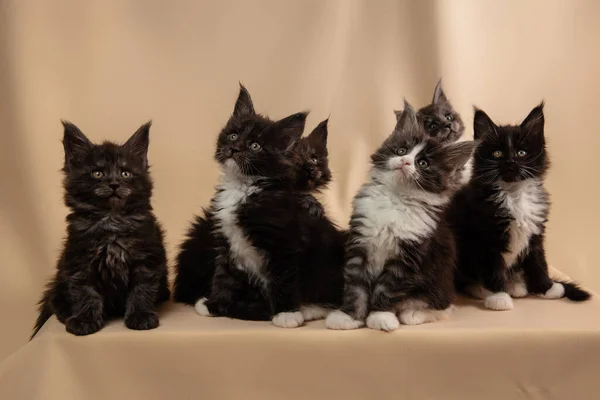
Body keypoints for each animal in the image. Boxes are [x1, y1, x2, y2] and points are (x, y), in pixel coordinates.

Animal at [31, 121, 170, 338]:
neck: (112, 222)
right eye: (98, 174)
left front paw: (140, 316)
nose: (114, 184)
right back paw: (66, 312)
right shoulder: (79, 261)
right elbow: (85, 292)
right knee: (55, 299)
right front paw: (85, 320)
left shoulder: (147, 258)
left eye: (125, 173)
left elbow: (142, 288)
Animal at [193, 84, 314, 328]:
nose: (234, 149)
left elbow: (283, 277)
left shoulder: (281, 241)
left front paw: (287, 313)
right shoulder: (226, 243)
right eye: (233, 135)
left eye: (255, 146)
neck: (242, 187)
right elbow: (223, 276)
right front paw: (214, 304)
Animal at [326, 101, 476, 332]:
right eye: (401, 150)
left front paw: (380, 316)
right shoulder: (360, 244)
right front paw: (349, 317)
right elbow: (355, 287)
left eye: (423, 163)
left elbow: (387, 289)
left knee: (442, 308)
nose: (405, 161)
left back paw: (413, 313)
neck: (395, 197)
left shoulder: (408, 256)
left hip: (436, 283)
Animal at [450, 102, 592, 310]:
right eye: (497, 153)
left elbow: (538, 261)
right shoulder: (485, 236)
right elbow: (492, 268)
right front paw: (499, 296)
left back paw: (516, 285)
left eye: (521, 153)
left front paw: (548, 288)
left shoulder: (535, 231)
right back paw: (481, 289)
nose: (510, 162)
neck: (514, 194)